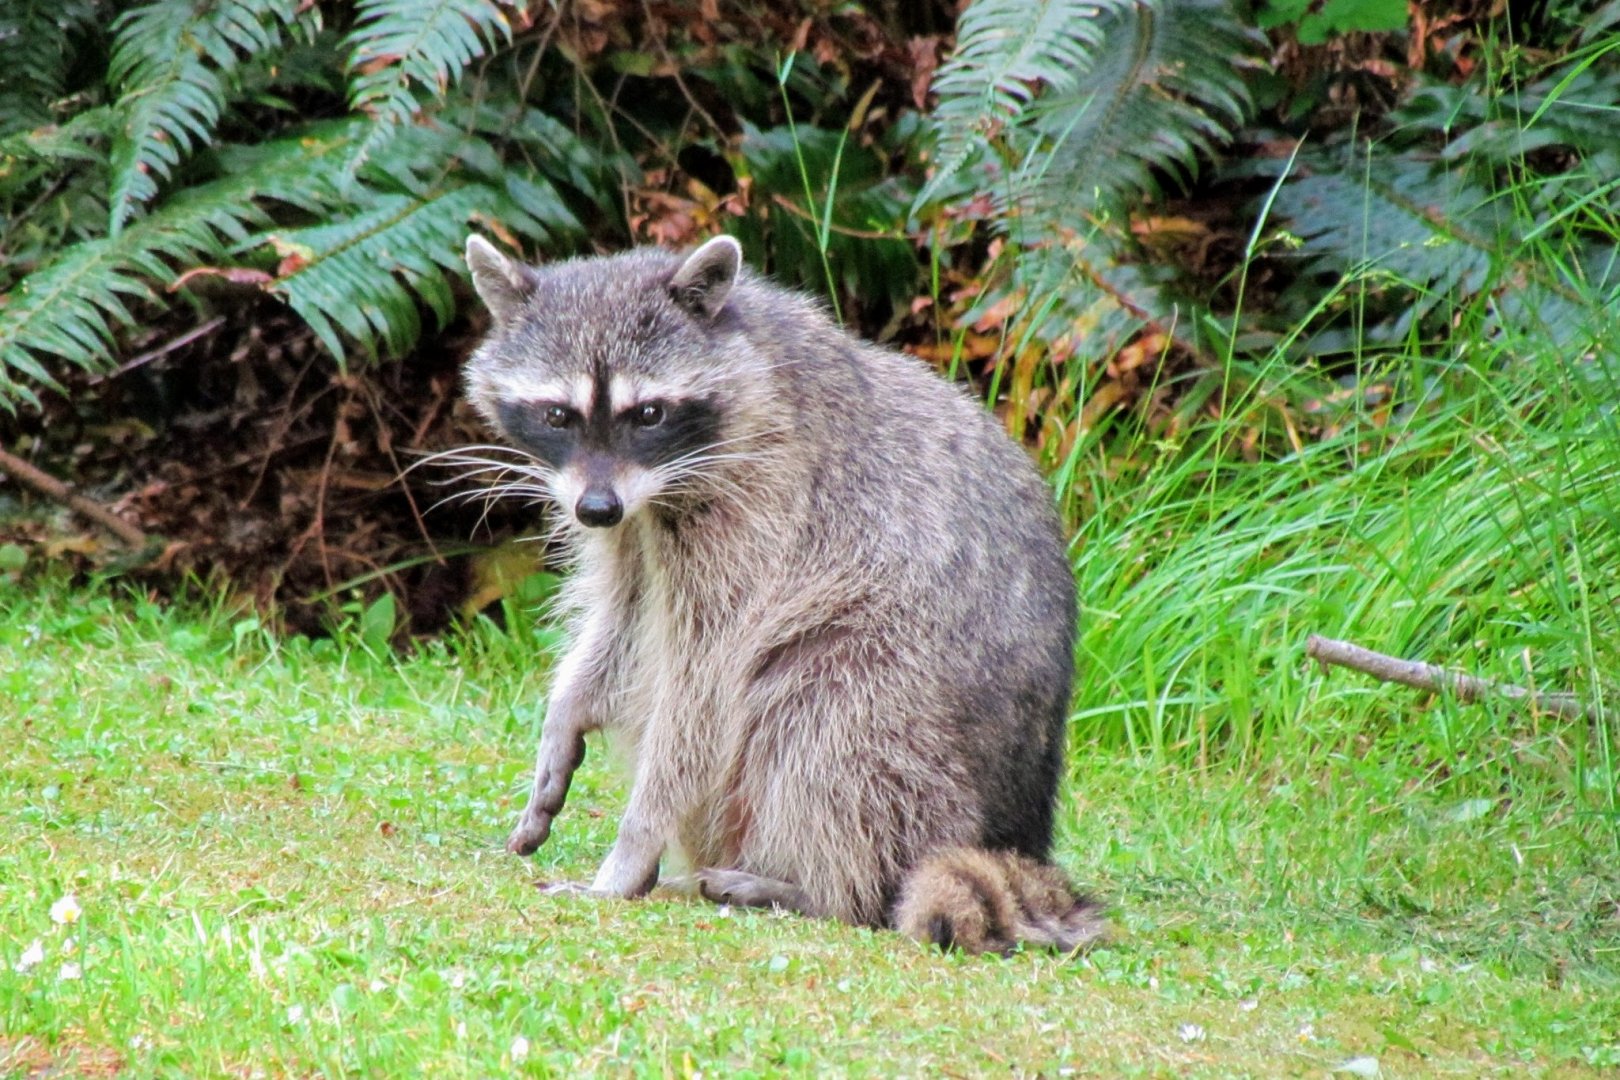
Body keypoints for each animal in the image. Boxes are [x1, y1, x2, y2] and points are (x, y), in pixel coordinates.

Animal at [457, 233, 1106, 955]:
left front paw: (629, 850)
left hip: (905, 692)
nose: (597, 508)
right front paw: (566, 709)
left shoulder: (758, 514)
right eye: (558, 415)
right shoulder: (630, 523)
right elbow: (625, 623)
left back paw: (824, 891)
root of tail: (1021, 837)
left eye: (648, 414)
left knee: (826, 714)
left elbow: (702, 690)